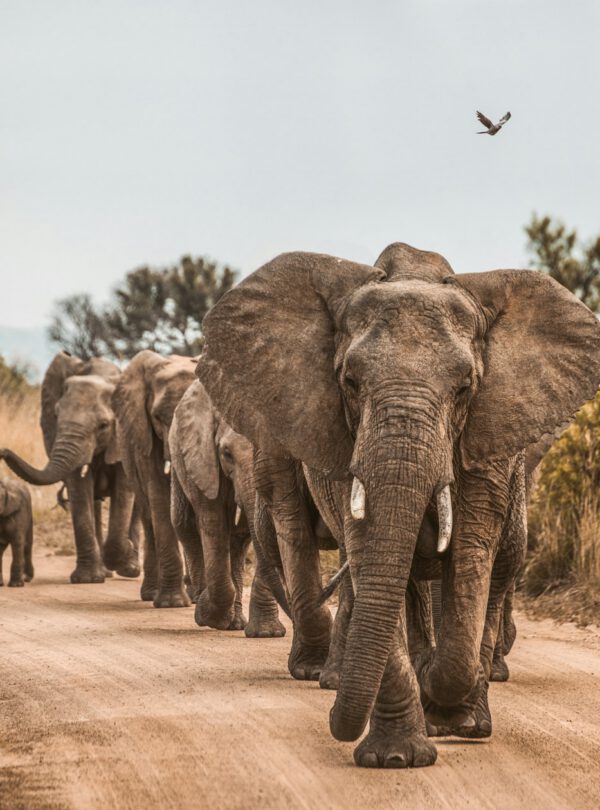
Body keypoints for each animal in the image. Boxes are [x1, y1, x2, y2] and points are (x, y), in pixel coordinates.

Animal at [0, 352, 140, 584]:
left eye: (103, 425)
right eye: (56, 416)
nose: (2, 451)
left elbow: (124, 491)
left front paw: (123, 555)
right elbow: (79, 490)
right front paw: (87, 579)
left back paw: (130, 569)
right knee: (95, 502)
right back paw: (105, 571)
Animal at [112, 349, 197, 607]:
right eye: (158, 417)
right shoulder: (144, 434)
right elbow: (159, 495)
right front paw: (172, 603)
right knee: (149, 517)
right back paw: (151, 594)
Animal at [169, 379, 289, 634]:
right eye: (226, 453)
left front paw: (267, 634)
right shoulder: (202, 457)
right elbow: (213, 522)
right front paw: (207, 615)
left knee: (239, 539)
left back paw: (234, 623)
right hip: (178, 457)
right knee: (184, 524)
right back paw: (202, 603)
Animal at [196, 243, 600, 768]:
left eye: (465, 388)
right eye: (349, 382)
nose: (334, 722)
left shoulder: (487, 439)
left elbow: (471, 557)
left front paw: (450, 714)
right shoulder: (345, 444)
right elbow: (371, 553)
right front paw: (397, 757)